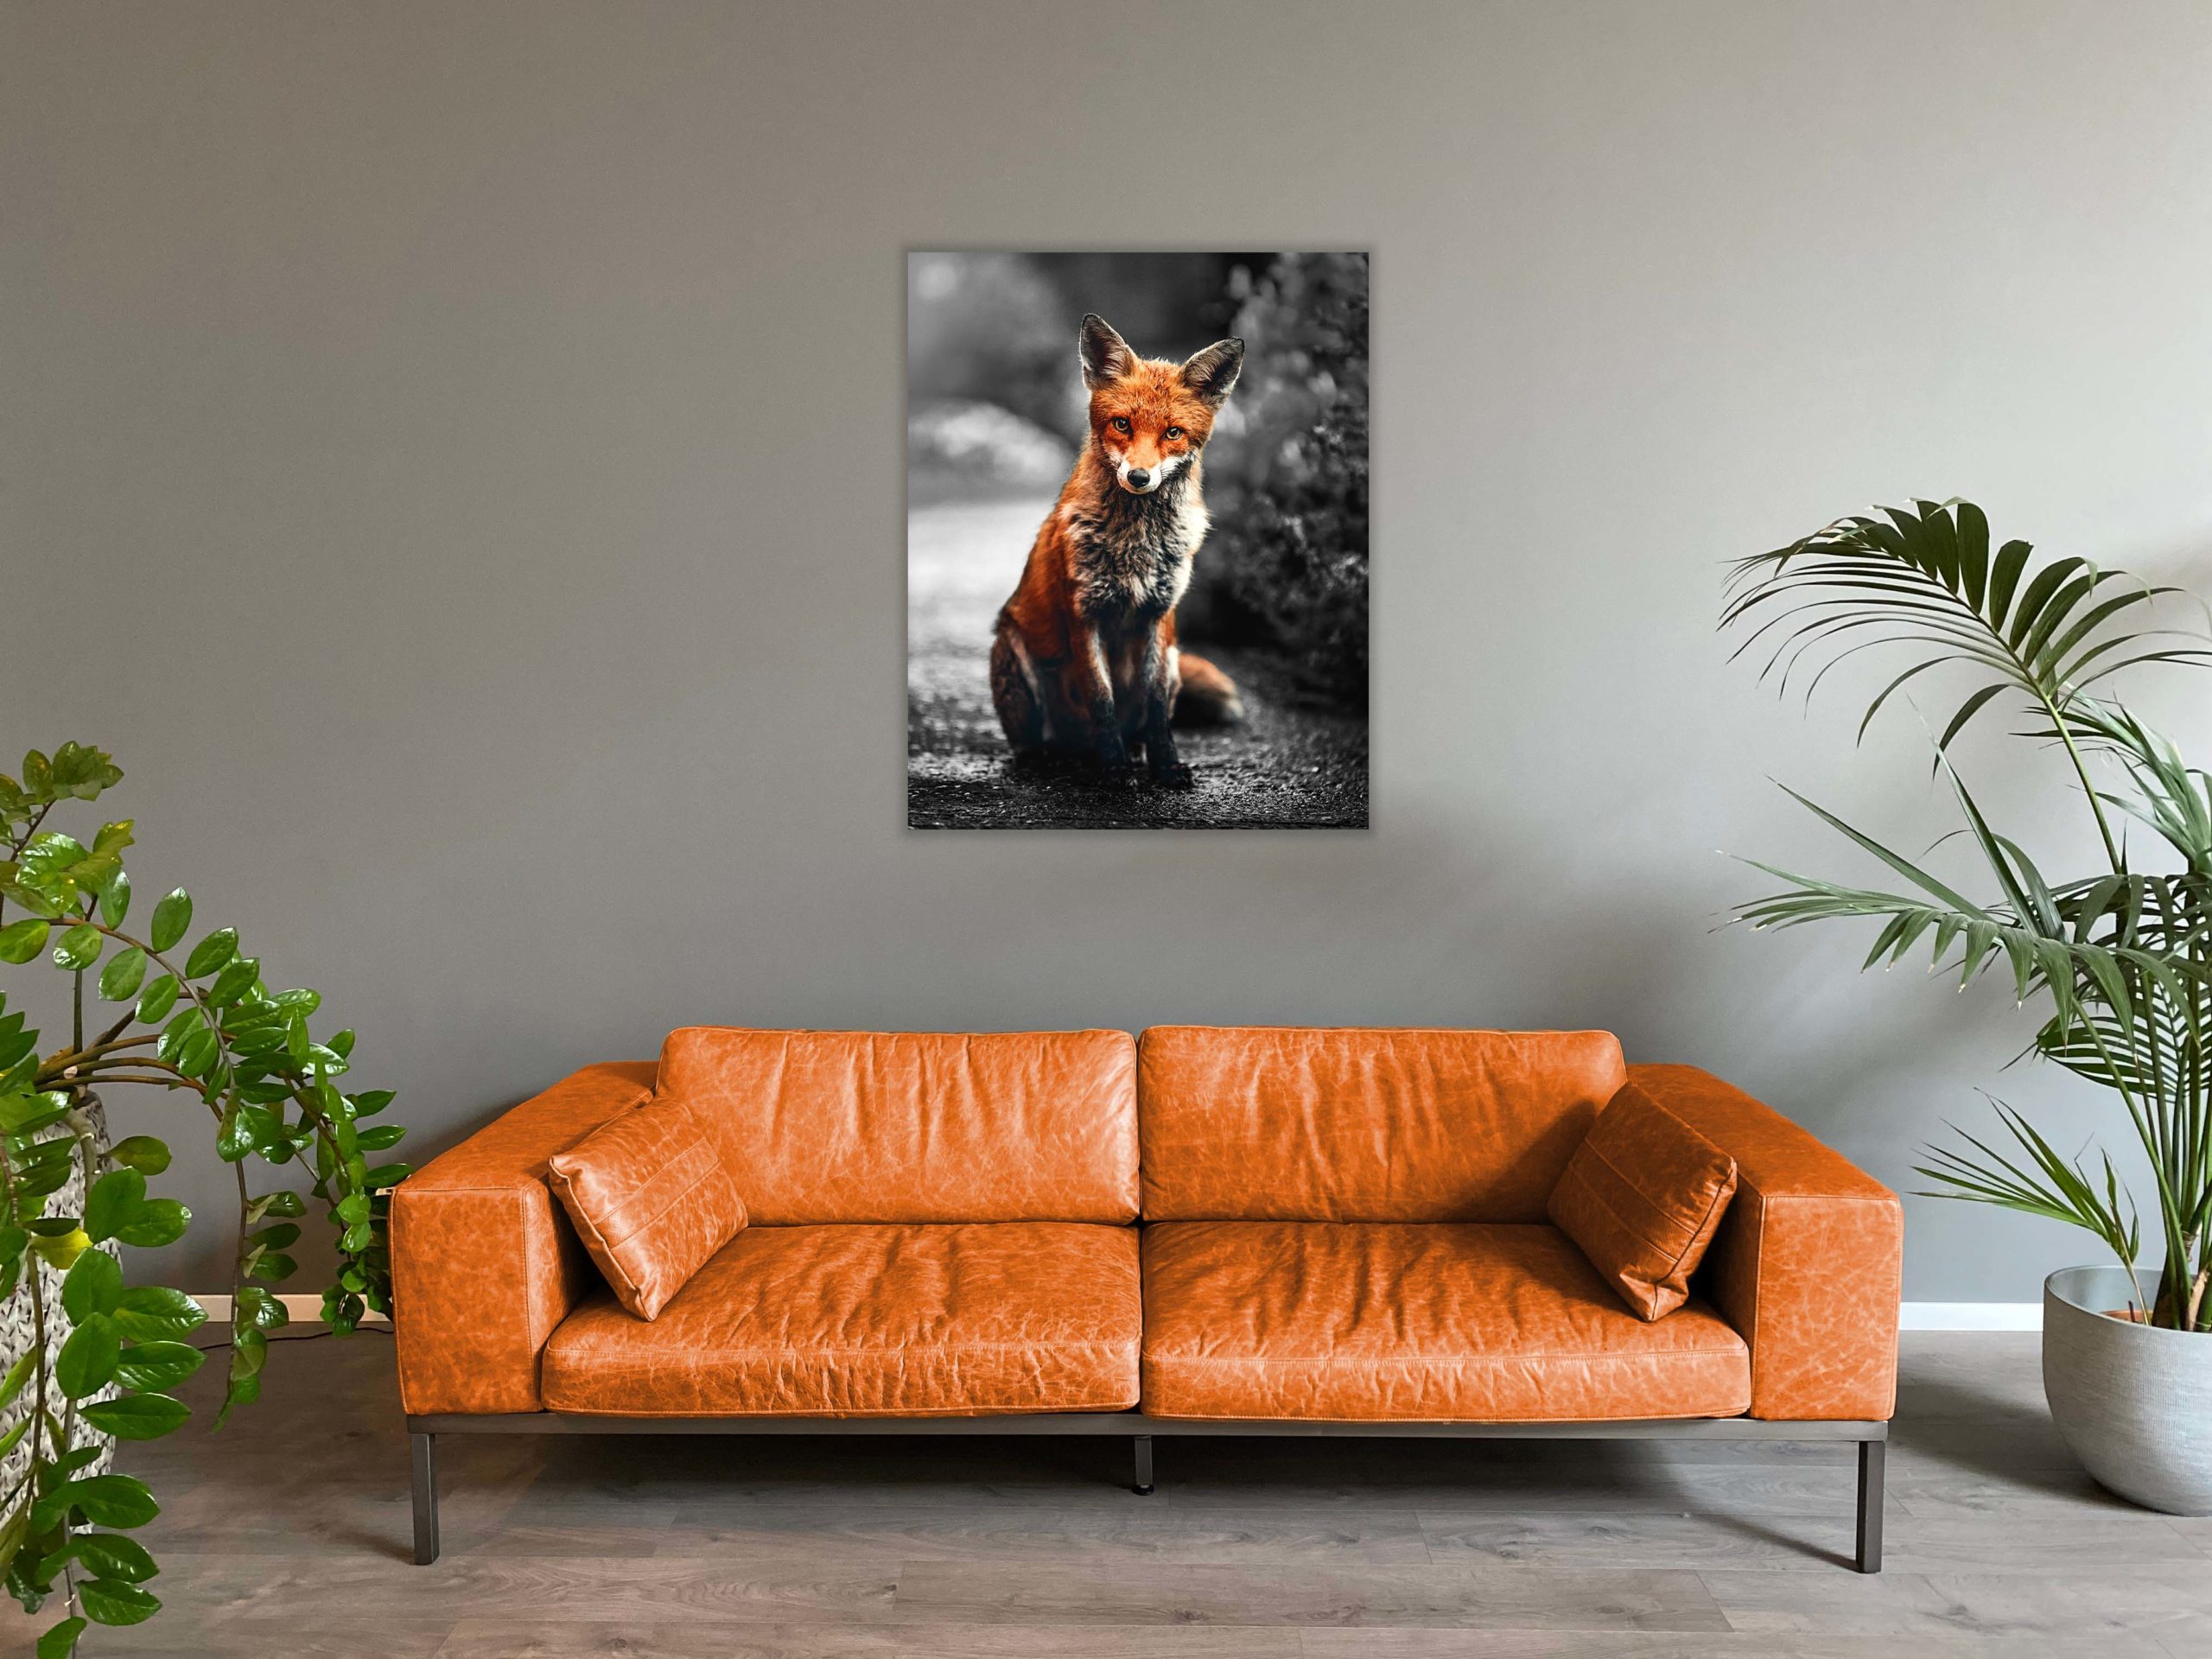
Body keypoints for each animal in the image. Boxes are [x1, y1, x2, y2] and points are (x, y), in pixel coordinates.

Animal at [989, 312, 1247, 788]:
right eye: (1122, 424)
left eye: (1173, 432)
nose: (1140, 477)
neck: (1135, 545)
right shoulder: (1084, 613)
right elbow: (1101, 699)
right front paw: (1113, 770)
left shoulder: (1159, 616)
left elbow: (1156, 709)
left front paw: (1165, 765)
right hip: (1013, 650)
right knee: (1031, 742)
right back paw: (1053, 757)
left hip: (1175, 657)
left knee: (1143, 722)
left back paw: (1134, 751)